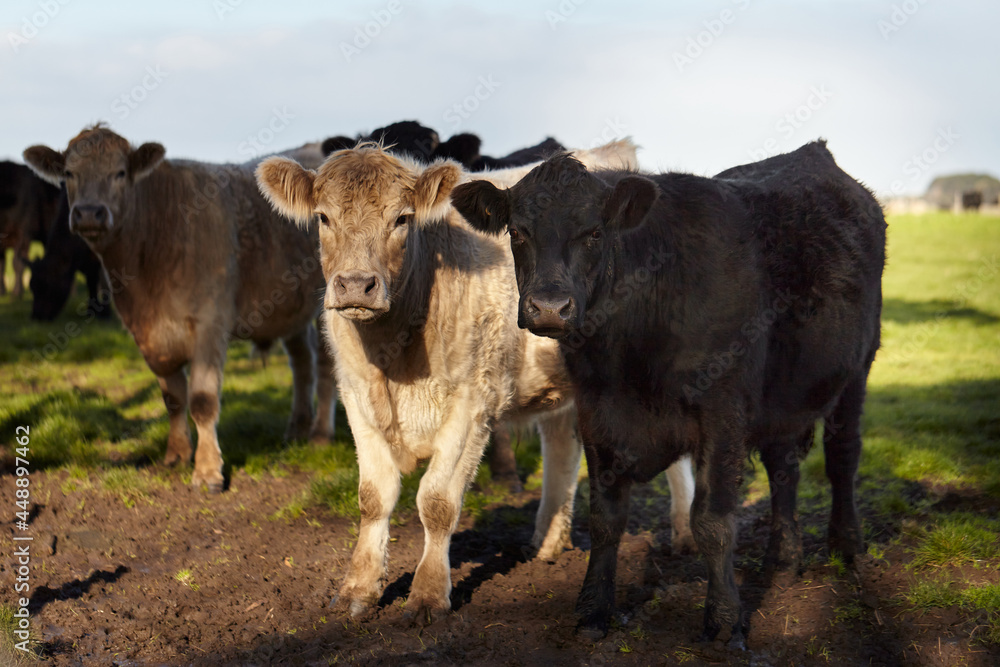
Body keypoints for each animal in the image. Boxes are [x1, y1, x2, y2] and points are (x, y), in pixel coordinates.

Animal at [27, 187, 111, 321]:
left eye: (48, 285)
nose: (36, 316)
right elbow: (91, 281)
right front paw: (91, 310)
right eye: (31, 286)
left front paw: (106, 314)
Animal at [256, 138, 696, 624]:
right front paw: (359, 588)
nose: (355, 285)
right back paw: (547, 542)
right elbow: (373, 497)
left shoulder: (472, 403)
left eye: (402, 219)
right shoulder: (356, 399)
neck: (394, 358)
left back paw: (683, 534)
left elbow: (436, 501)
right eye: (323, 217)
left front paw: (428, 596)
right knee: (562, 444)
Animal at [451, 141, 886, 646]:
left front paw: (723, 620)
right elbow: (605, 519)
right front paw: (593, 609)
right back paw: (782, 559)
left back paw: (847, 547)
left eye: (594, 232)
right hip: (783, 393)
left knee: (842, 457)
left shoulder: (723, 412)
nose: (549, 307)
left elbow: (711, 520)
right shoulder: (597, 411)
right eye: (518, 232)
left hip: (857, 368)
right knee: (784, 470)